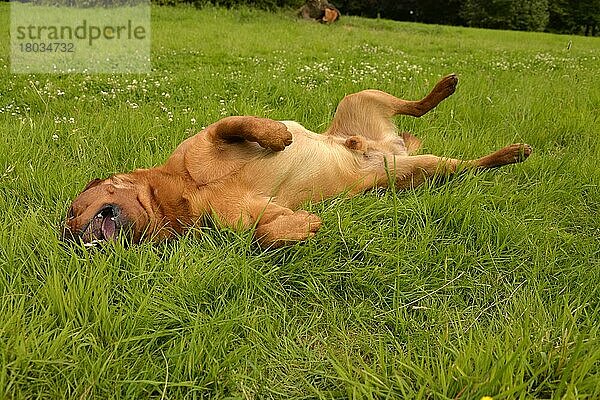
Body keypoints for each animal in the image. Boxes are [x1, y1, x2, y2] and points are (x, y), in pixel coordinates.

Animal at [62, 73, 528, 245]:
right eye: (67, 227)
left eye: (71, 210)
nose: (76, 238)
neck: (186, 192)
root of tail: (390, 147)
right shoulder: (251, 217)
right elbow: (265, 234)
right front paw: (305, 225)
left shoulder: (210, 136)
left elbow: (238, 124)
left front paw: (277, 135)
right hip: (418, 174)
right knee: (466, 166)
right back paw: (507, 154)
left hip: (360, 96)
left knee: (414, 106)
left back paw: (446, 90)